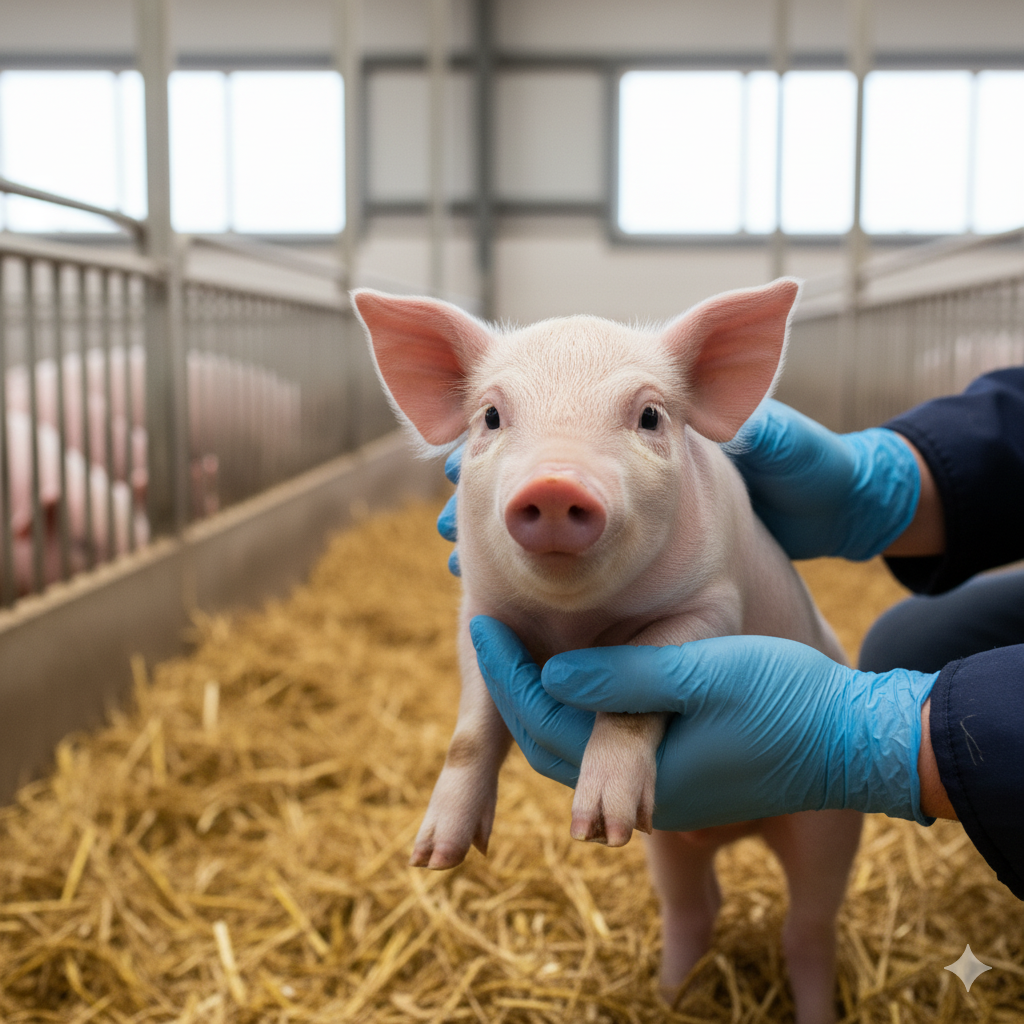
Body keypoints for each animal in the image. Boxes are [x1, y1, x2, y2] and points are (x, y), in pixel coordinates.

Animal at [356, 280, 861, 1024]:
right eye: (491, 416)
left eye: (649, 414)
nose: (554, 484)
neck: (575, 621)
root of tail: (733, 829)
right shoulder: (478, 616)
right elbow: (472, 732)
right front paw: (435, 855)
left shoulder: (710, 606)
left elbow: (638, 687)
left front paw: (596, 828)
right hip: (673, 848)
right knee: (694, 908)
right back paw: (669, 997)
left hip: (831, 826)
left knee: (808, 930)